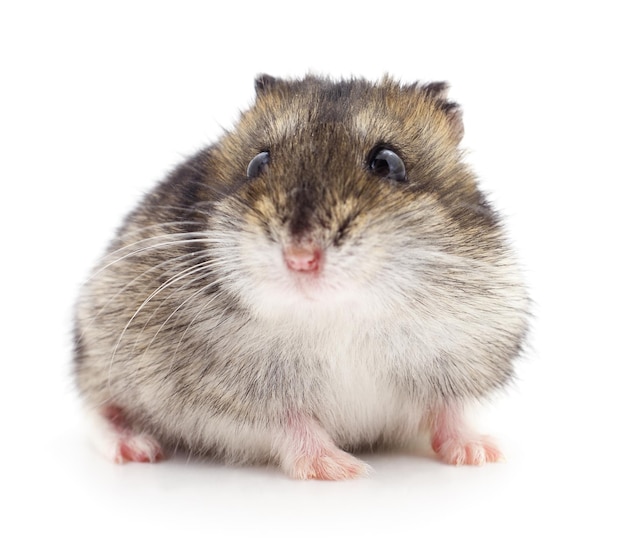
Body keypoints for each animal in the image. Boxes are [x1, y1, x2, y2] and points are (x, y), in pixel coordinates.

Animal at [73, 75, 528, 478]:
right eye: (258, 162)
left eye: (388, 163)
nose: (301, 259)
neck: (340, 315)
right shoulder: (233, 396)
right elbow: (293, 423)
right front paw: (343, 470)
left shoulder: (458, 357)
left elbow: (449, 411)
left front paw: (481, 453)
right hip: (97, 351)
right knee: (97, 410)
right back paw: (135, 448)